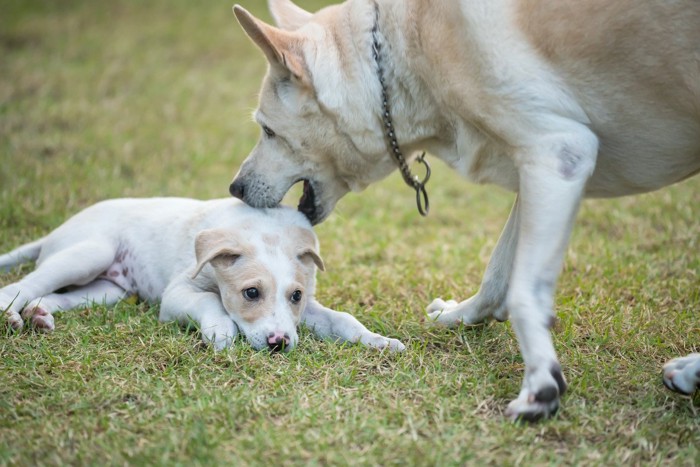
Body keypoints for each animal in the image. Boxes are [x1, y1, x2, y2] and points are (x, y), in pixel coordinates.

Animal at [0, 197, 404, 354]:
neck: (262, 228)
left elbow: (342, 320)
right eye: (251, 293)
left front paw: (380, 341)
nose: (279, 343)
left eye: (296, 296)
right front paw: (220, 332)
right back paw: (11, 315)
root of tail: (55, 232)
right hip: (90, 252)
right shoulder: (177, 294)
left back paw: (39, 316)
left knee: (49, 295)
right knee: (21, 285)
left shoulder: (306, 310)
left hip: (107, 290)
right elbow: (211, 300)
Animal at [230, 0, 700, 422]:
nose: (234, 188)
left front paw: (541, 385)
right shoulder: (538, 169)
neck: (410, 48)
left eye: (267, 130)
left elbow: (525, 292)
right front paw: (461, 316)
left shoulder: (559, 153)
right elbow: (497, 275)